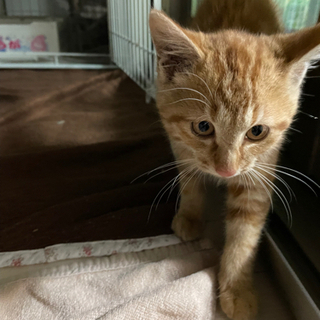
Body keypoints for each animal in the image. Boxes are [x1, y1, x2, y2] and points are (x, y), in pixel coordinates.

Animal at [149, 1, 320, 318]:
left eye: (257, 131)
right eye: (203, 127)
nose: (225, 170)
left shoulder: (259, 171)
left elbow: (245, 234)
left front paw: (237, 289)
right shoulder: (181, 145)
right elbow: (190, 182)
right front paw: (190, 215)